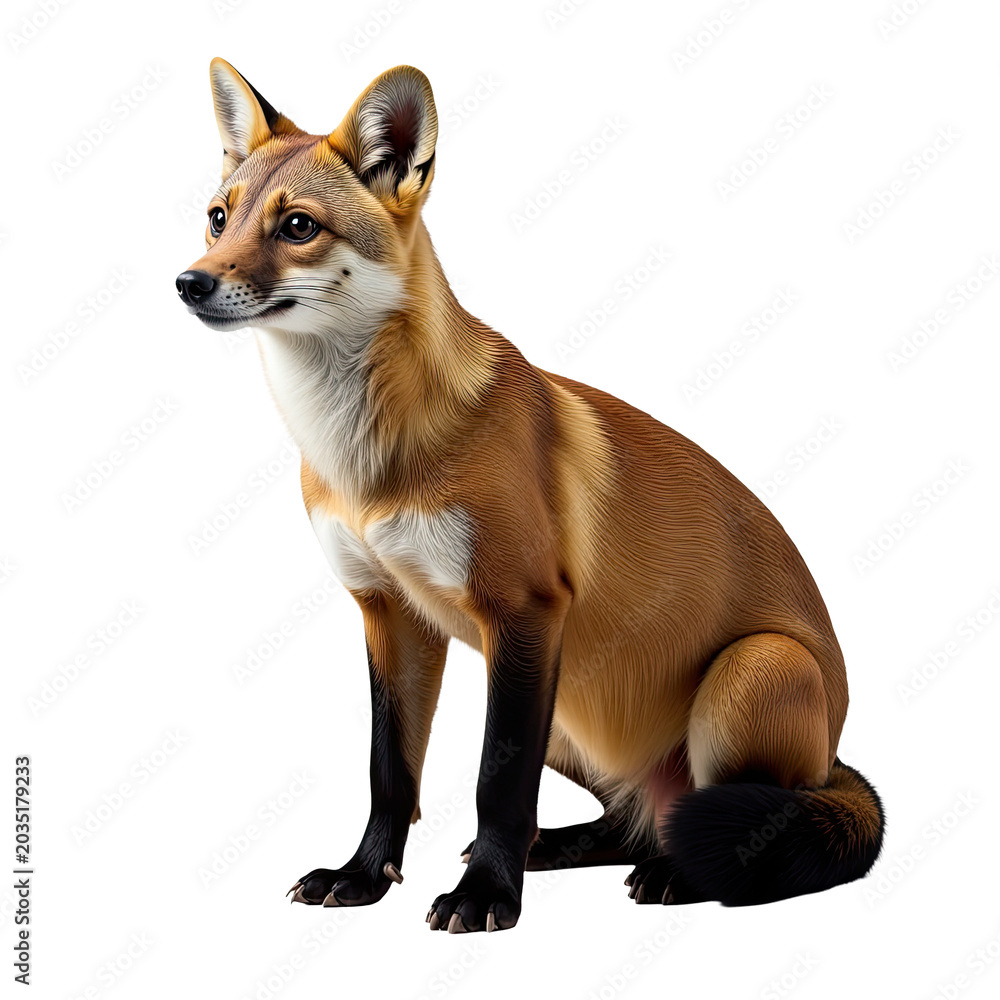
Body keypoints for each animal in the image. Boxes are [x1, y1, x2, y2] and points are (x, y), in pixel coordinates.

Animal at [176, 58, 884, 934]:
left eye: (298, 226)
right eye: (218, 218)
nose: (189, 282)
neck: (366, 466)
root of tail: (834, 754)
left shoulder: (524, 608)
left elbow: (495, 783)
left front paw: (487, 895)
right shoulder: (390, 611)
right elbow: (390, 772)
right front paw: (366, 875)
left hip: (739, 676)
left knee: (747, 822)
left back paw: (676, 874)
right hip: (568, 708)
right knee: (634, 820)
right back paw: (573, 846)